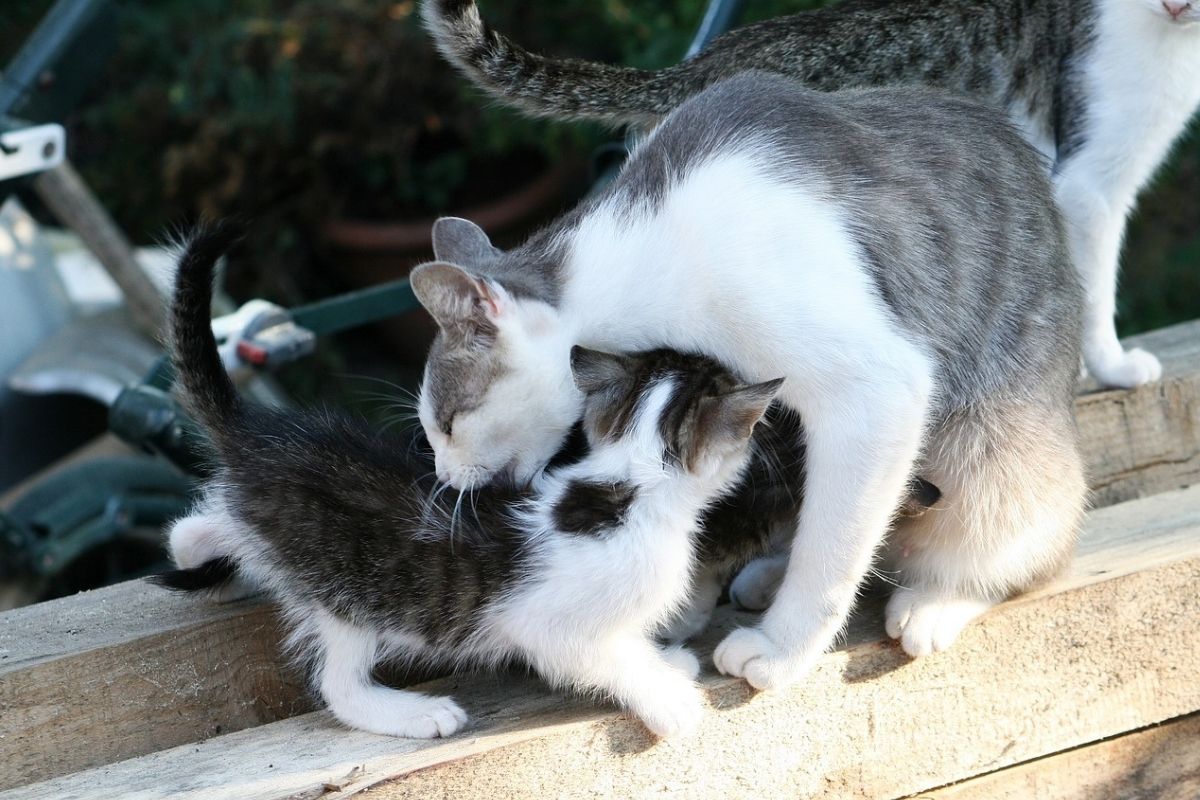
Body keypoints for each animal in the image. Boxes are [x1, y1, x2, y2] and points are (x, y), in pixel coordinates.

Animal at [154, 224, 787, 738]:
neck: (631, 485)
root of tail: (257, 436)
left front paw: (666, 662)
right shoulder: (544, 625)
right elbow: (605, 659)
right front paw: (671, 702)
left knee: (192, 529)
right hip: (347, 585)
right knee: (338, 682)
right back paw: (410, 713)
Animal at [408, 71, 1094, 690]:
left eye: (448, 423)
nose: (442, 477)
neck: (645, 257)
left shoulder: (874, 390)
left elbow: (832, 549)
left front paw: (783, 652)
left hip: (992, 447)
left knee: (1027, 541)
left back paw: (935, 600)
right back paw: (766, 574)